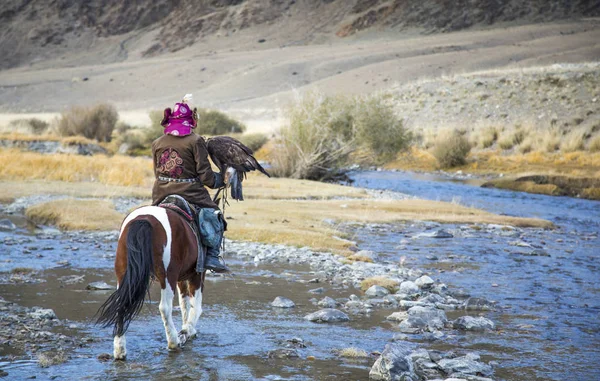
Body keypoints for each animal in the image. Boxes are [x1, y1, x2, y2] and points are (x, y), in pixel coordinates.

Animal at [95, 203, 205, 358]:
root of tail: (144, 220)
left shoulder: (182, 278)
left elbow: (184, 303)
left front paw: (185, 329)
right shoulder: (197, 274)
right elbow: (195, 304)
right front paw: (189, 330)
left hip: (123, 274)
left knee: (121, 305)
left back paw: (119, 350)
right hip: (168, 276)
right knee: (165, 308)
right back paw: (173, 342)